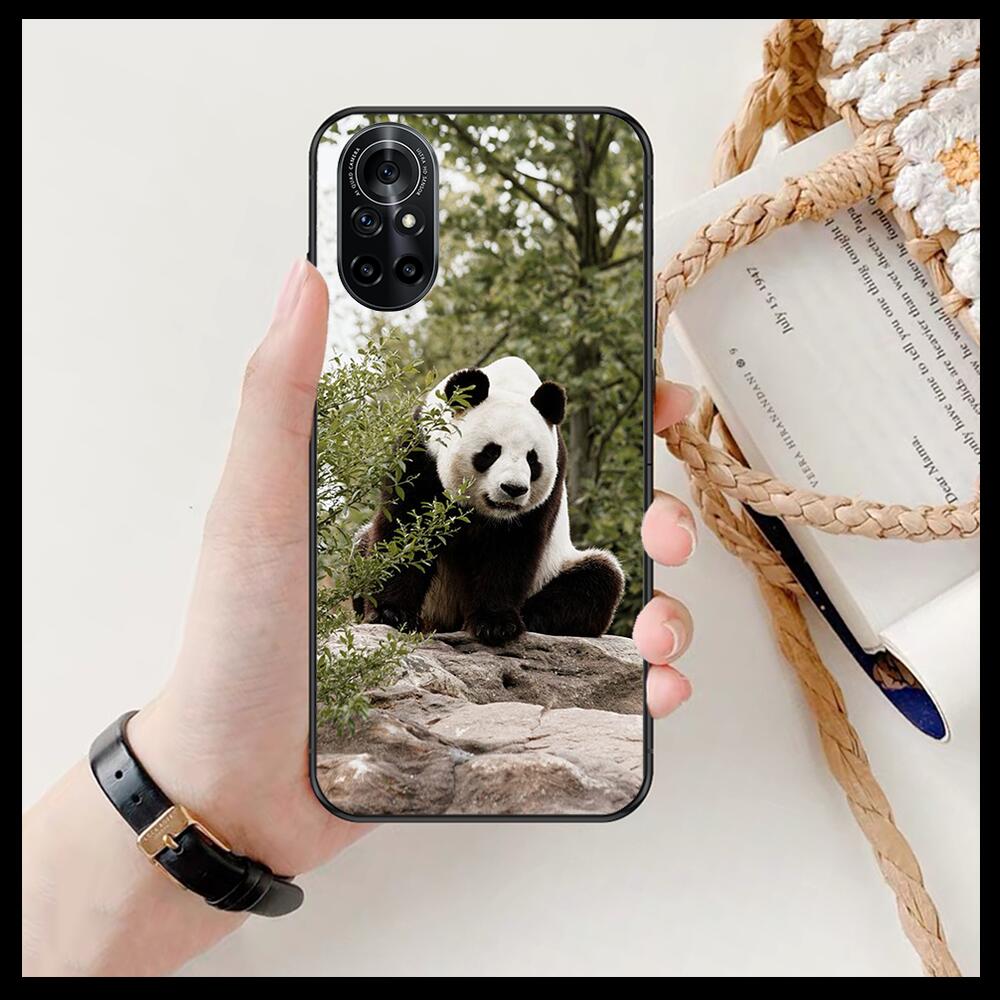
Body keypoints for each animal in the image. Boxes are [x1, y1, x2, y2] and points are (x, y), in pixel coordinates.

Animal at [355, 356, 625, 646]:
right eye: (491, 452)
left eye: (532, 460)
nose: (513, 489)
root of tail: (445, 620)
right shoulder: (421, 450)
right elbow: (406, 527)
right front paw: (391, 612)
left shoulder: (548, 484)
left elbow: (510, 549)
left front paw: (495, 624)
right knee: (360, 547)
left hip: (557, 566)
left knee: (598, 579)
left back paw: (529, 617)